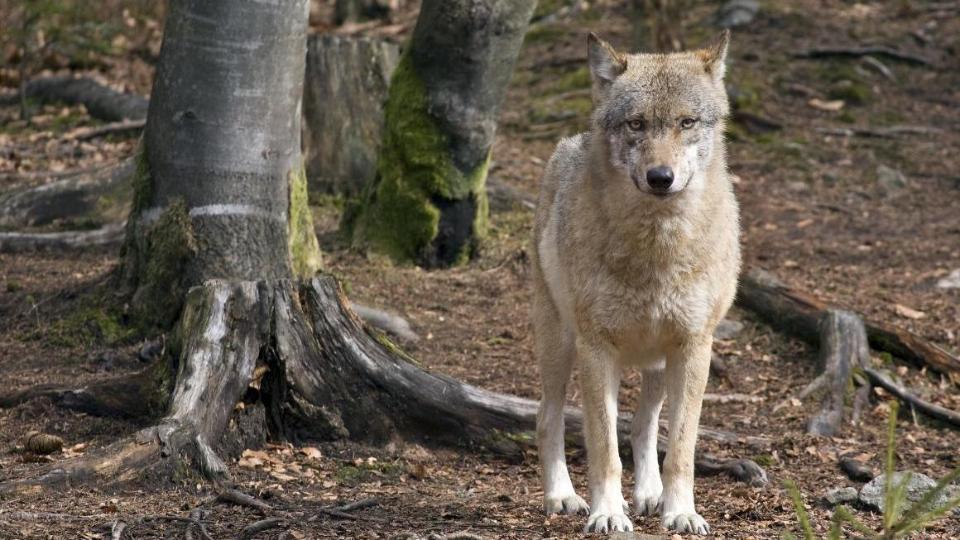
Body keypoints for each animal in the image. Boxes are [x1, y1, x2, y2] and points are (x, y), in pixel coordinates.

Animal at [528, 31, 740, 532]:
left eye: (686, 122)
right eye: (636, 124)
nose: (660, 177)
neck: (655, 251)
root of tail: (567, 143)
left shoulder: (693, 347)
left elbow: (679, 448)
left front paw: (681, 512)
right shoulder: (596, 348)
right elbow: (605, 448)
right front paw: (607, 512)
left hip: (658, 364)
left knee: (643, 426)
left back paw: (650, 496)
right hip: (560, 346)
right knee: (547, 418)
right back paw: (561, 497)